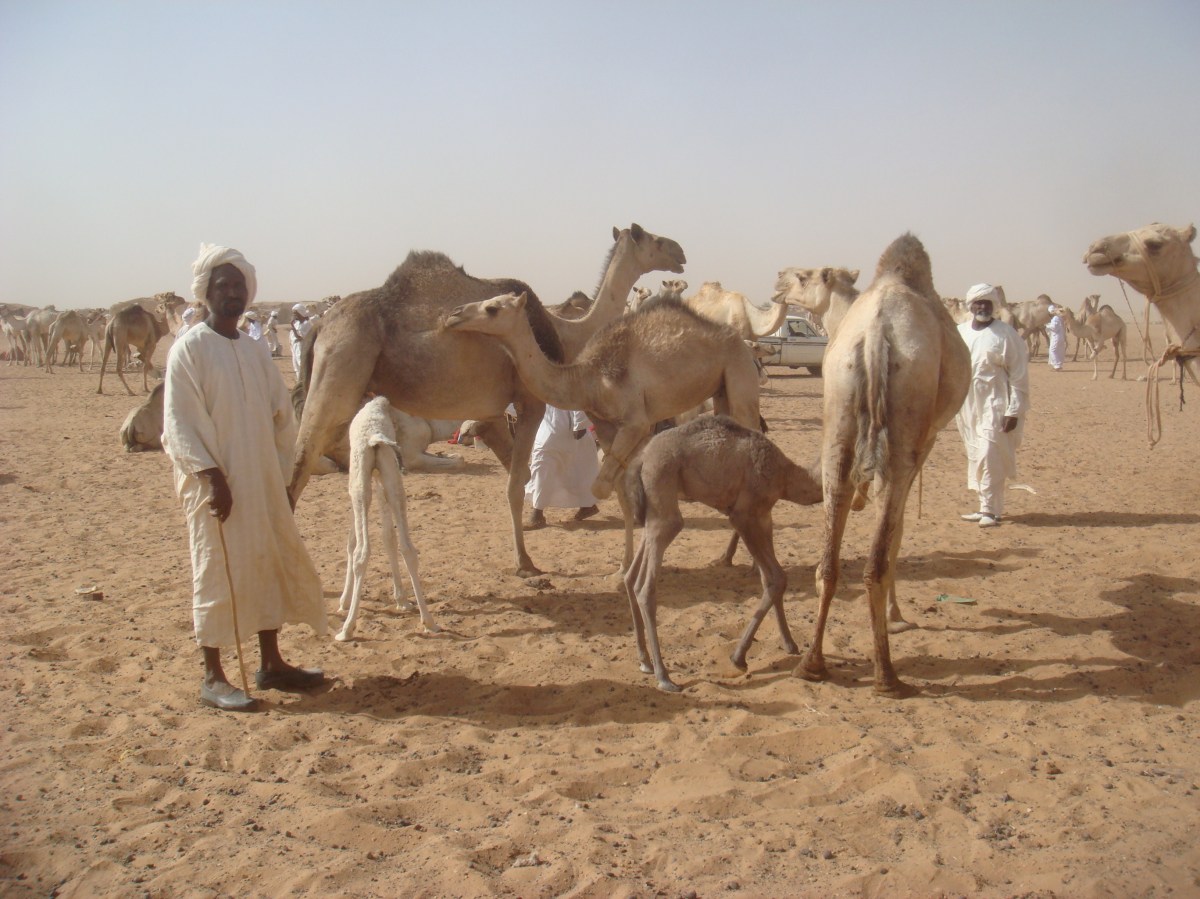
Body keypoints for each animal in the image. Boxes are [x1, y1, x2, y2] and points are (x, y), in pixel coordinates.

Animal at [289, 223, 687, 578]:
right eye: (652, 238)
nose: (680, 253)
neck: (564, 332)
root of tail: (320, 326)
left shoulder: (491, 412)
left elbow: (515, 474)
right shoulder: (529, 401)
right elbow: (516, 482)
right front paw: (525, 562)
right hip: (340, 367)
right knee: (300, 464)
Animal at [336, 397, 440, 642]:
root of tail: (376, 439)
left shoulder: (360, 483)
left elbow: (352, 542)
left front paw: (343, 602)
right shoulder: (380, 478)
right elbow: (388, 536)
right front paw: (401, 599)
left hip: (360, 483)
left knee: (361, 552)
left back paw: (346, 629)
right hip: (393, 478)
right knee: (408, 548)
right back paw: (429, 622)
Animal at [443, 291, 762, 569]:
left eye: (492, 308)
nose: (454, 314)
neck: (589, 380)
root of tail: (744, 343)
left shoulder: (636, 421)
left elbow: (603, 487)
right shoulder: (608, 427)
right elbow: (620, 493)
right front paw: (624, 568)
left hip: (739, 374)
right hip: (720, 393)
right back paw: (725, 556)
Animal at [622, 415, 822, 692]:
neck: (786, 476)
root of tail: (641, 459)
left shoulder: (764, 516)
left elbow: (769, 579)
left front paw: (789, 643)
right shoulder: (744, 515)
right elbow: (777, 578)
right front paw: (739, 658)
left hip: (653, 508)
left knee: (631, 576)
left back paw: (644, 661)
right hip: (663, 489)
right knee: (646, 586)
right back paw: (664, 677)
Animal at [795, 233, 970, 696]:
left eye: (801, 276)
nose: (779, 282)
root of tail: (876, 333)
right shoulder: (923, 443)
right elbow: (898, 531)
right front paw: (897, 615)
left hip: (839, 407)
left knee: (830, 556)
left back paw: (812, 663)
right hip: (905, 425)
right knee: (878, 556)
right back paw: (887, 675)